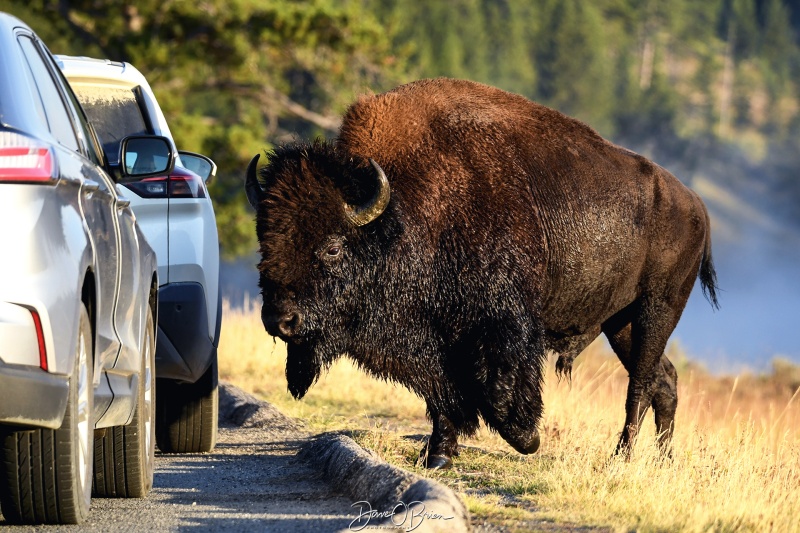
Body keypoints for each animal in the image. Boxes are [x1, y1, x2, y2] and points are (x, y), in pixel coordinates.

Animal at [244, 77, 720, 468]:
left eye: (332, 247)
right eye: (264, 240)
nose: (280, 320)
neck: (405, 212)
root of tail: (696, 204)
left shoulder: (501, 326)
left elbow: (495, 391)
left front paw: (527, 439)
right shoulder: (437, 341)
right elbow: (444, 397)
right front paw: (438, 457)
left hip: (656, 309)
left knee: (640, 383)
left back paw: (620, 457)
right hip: (619, 322)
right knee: (664, 379)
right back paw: (662, 461)